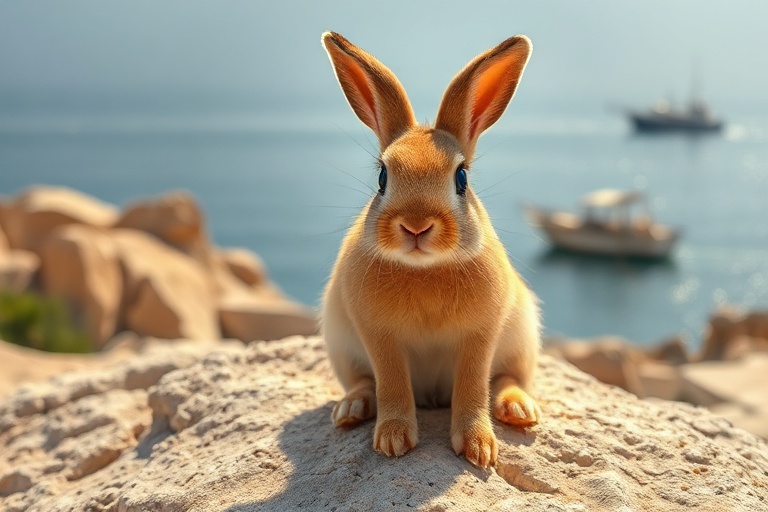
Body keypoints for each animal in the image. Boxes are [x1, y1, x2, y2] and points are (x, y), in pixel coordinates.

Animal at [320, 31, 541, 469]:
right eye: (382, 177)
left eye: (461, 178)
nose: (416, 225)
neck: (425, 270)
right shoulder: (378, 336)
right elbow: (390, 383)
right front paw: (393, 441)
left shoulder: (480, 336)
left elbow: (473, 386)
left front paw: (479, 449)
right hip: (342, 348)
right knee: (363, 382)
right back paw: (350, 410)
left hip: (521, 341)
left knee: (507, 379)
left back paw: (519, 410)